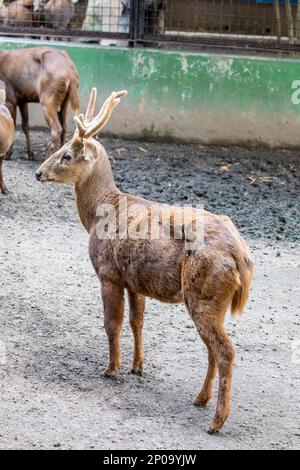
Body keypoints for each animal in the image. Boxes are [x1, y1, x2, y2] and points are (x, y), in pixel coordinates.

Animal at [35, 88, 253, 434]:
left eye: (67, 155)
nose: (38, 172)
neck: (100, 211)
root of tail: (242, 258)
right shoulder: (134, 280)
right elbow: (137, 321)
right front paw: (137, 366)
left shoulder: (108, 272)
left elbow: (112, 322)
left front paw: (111, 368)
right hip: (210, 302)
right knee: (213, 349)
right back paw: (200, 399)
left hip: (204, 292)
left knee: (225, 351)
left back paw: (216, 421)